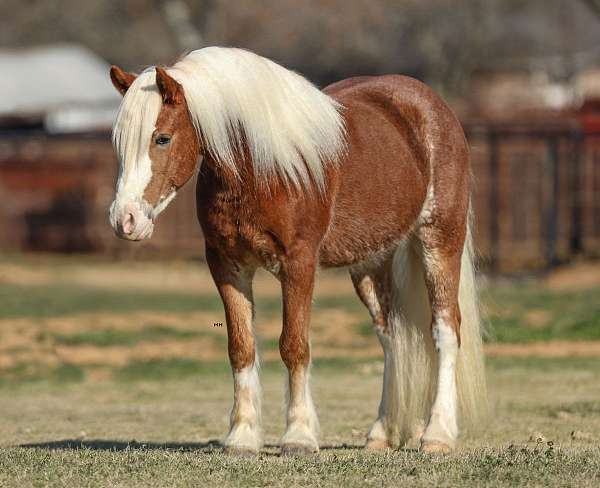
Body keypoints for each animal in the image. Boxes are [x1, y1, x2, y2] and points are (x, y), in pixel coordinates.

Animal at [109, 47, 488, 456]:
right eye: (119, 141)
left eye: (162, 138)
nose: (125, 220)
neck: (259, 168)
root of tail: (432, 106)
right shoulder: (227, 266)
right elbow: (241, 347)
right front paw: (242, 437)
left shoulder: (299, 265)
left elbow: (294, 345)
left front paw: (299, 436)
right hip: (372, 262)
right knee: (392, 336)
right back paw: (381, 433)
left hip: (439, 241)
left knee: (445, 330)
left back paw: (438, 435)